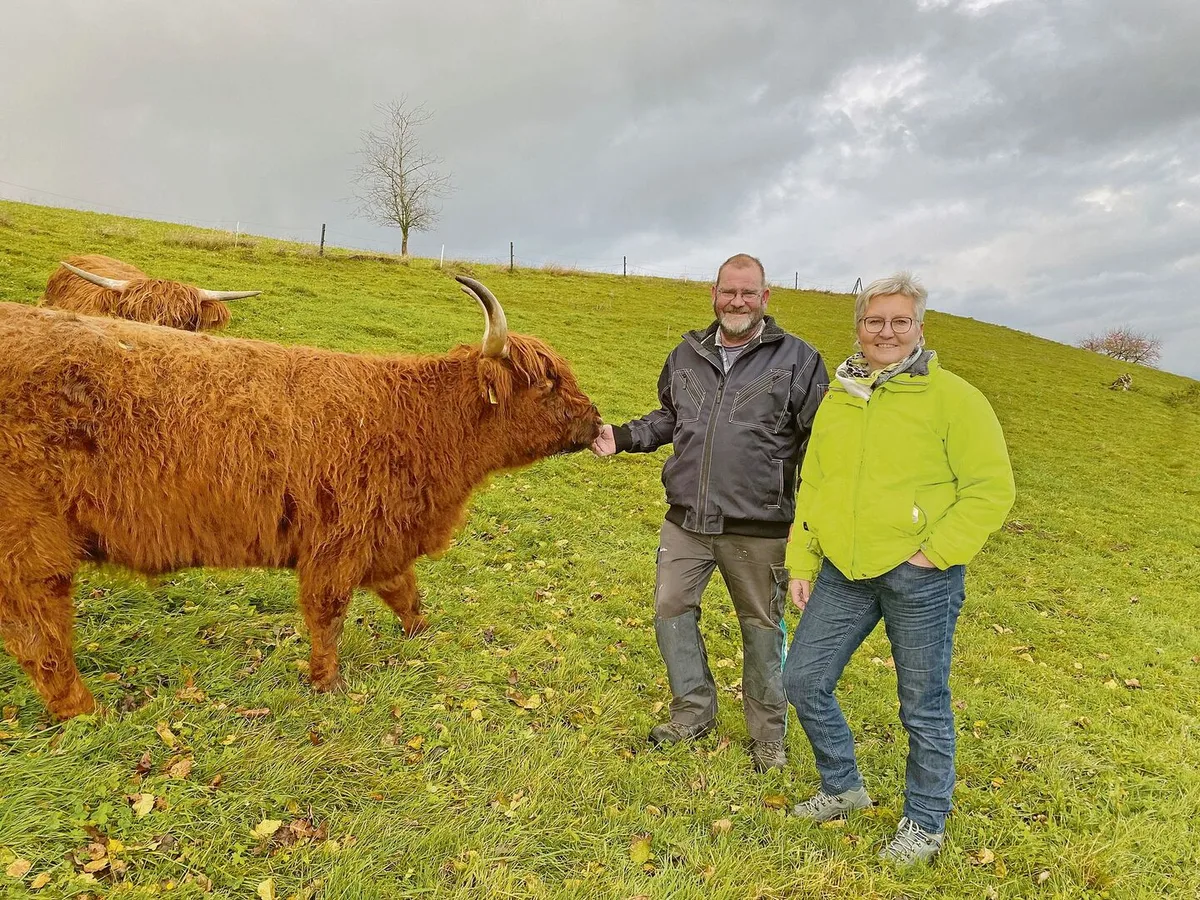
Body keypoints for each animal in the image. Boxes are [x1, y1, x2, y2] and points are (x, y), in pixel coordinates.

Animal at [0, 276, 601, 719]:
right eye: (546, 384)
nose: (597, 422)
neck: (415, 421)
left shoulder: (384, 536)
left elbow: (406, 594)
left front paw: (421, 637)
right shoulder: (338, 541)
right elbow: (328, 613)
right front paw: (327, 683)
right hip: (31, 543)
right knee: (39, 635)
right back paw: (86, 712)